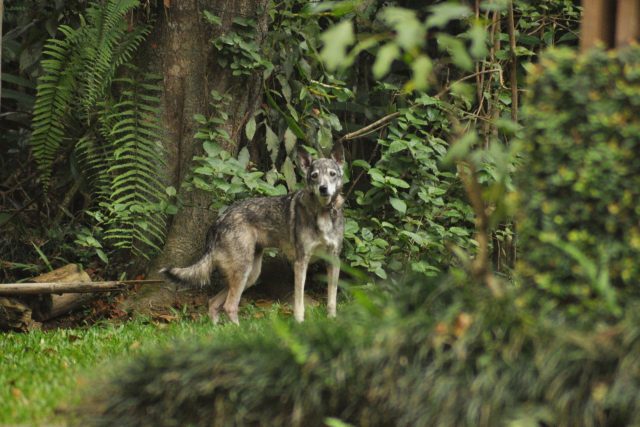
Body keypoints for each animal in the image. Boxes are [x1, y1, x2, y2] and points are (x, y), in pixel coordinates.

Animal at [160, 143, 345, 324]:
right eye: (314, 175)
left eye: (332, 174)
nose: (323, 188)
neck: (323, 212)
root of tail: (220, 219)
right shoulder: (300, 263)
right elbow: (299, 303)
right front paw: (299, 323)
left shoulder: (333, 260)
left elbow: (332, 299)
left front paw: (333, 320)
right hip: (244, 271)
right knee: (229, 306)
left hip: (250, 275)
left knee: (213, 302)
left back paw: (216, 330)